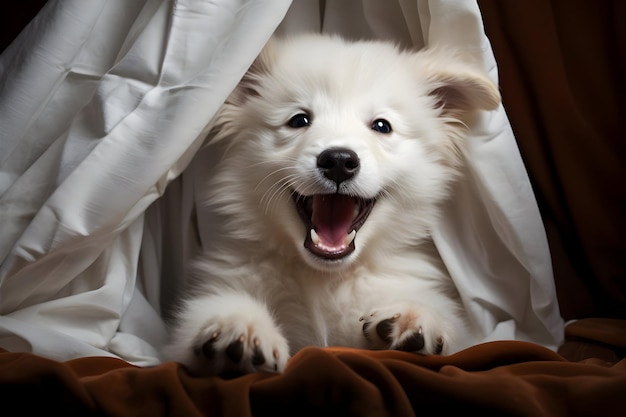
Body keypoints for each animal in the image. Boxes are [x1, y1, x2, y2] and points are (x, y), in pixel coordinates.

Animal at [163, 34, 500, 376]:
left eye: (382, 126)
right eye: (299, 120)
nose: (338, 161)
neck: (324, 277)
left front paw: (413, 317)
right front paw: (241, 326)